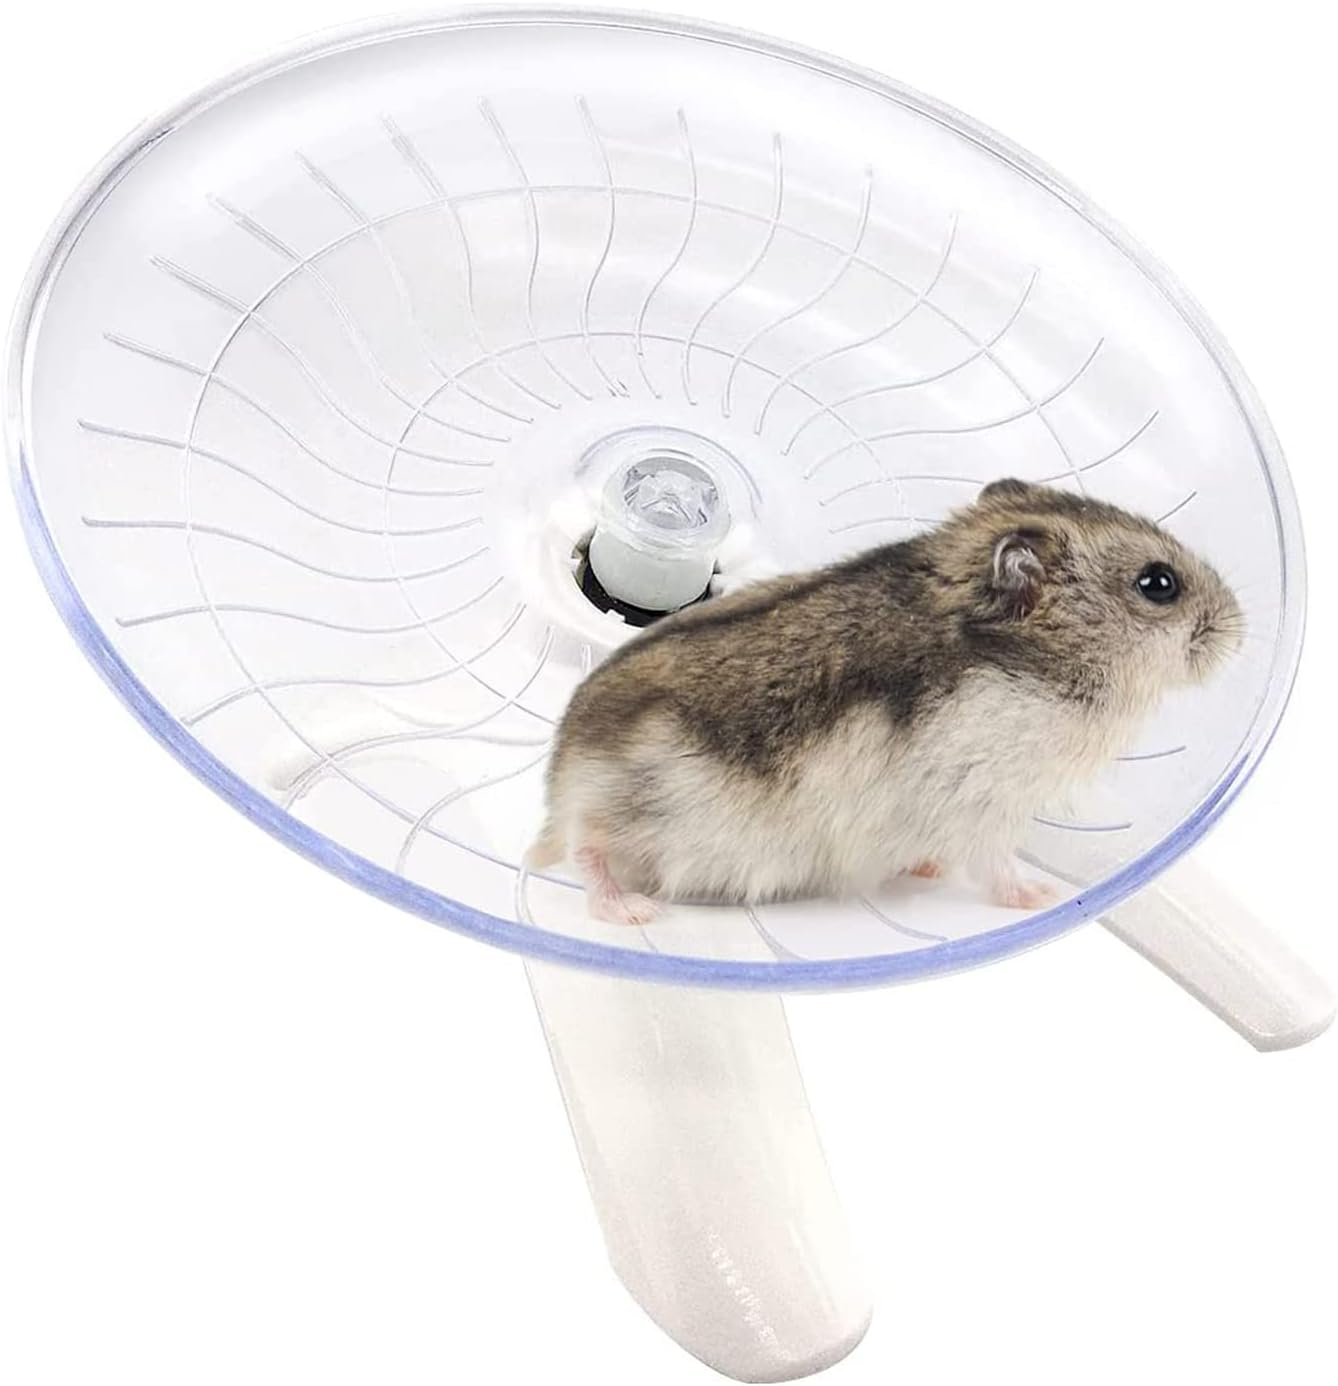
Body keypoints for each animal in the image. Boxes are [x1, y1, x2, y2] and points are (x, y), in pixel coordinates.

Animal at [528, 478, 1243, 924]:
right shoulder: (985, 806)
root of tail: (559, 780)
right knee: (585, 848)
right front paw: (1043, 895)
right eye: (1159, 584)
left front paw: (930, 870)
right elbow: (998, 867)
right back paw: (631, 911)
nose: (1238, 627)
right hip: (630, 807)